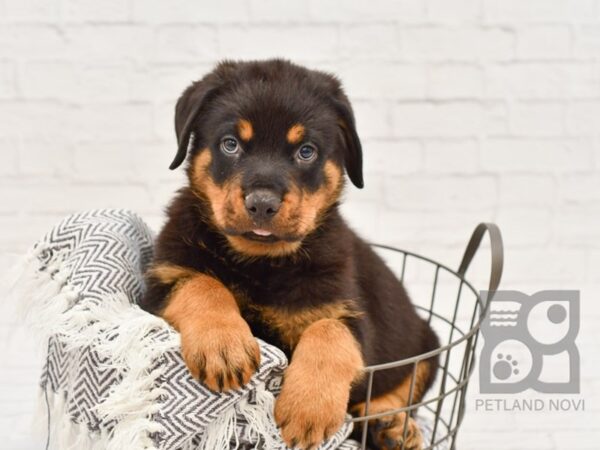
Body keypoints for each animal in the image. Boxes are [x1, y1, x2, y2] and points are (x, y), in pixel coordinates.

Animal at [143, 59, 438, 450]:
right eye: (230, 144)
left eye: (306, 151)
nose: (262, 204)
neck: (262, 264)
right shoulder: (160, 284)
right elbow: (200, 284)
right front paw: (223, 345)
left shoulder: (348, 312)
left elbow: (330, 330)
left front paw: (308, 406)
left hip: (424, 342)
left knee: (405, 387)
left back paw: (389, 426)